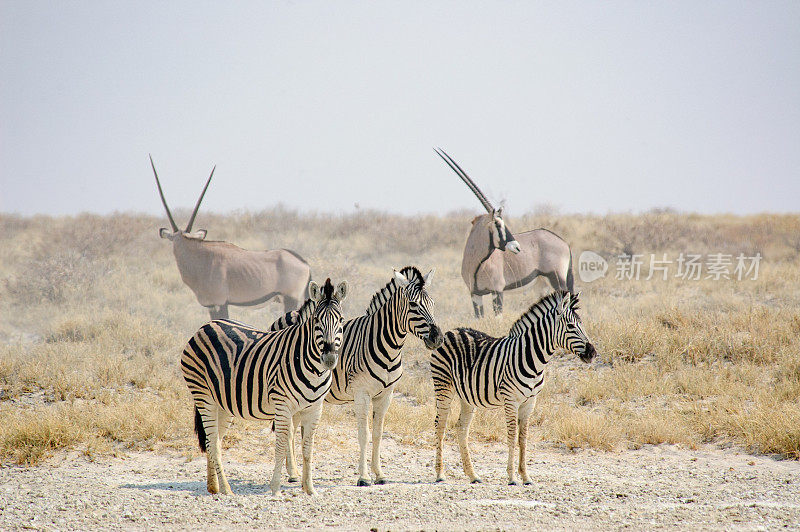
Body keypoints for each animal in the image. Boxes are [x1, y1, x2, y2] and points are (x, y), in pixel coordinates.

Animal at [180, 278, 346, 494]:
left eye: (341, 320)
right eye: (317, 320)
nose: (329, 359)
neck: (313, 369)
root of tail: (205, 326)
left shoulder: (315, 408)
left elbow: (308, 448)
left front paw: (310, 490)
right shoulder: (283, 405)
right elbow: (282, 444)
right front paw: (275, 488)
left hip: (222, 403)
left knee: (212, 440)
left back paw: (214, 487)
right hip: (203, 394)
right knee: (213, 441)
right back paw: (226, 489)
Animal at [268, 266, 444, 486]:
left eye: (433, 304)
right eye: (413, 305)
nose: (438, 338)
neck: (389, 346)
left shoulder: (386, 395)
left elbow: (377, 433)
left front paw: (380, 474)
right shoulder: (362, 393)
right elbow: (363, 434)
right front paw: (364, 477)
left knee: (292, 427)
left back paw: (293, 472)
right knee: (289, 429)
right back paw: (292, 473)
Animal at [432, 290, 592, 486]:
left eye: (582, 325)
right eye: (570, 326)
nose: (592, 352)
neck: (532, 359)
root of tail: (451, 330)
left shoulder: (530, 402)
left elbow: (523, 438)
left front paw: (526, 477)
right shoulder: (511, 400)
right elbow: (512, 435)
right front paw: (512, 477)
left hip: (467, 396)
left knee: (461, 429)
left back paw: (473, 475)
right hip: (443, 385)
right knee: (440, 425)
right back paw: (440, 474)